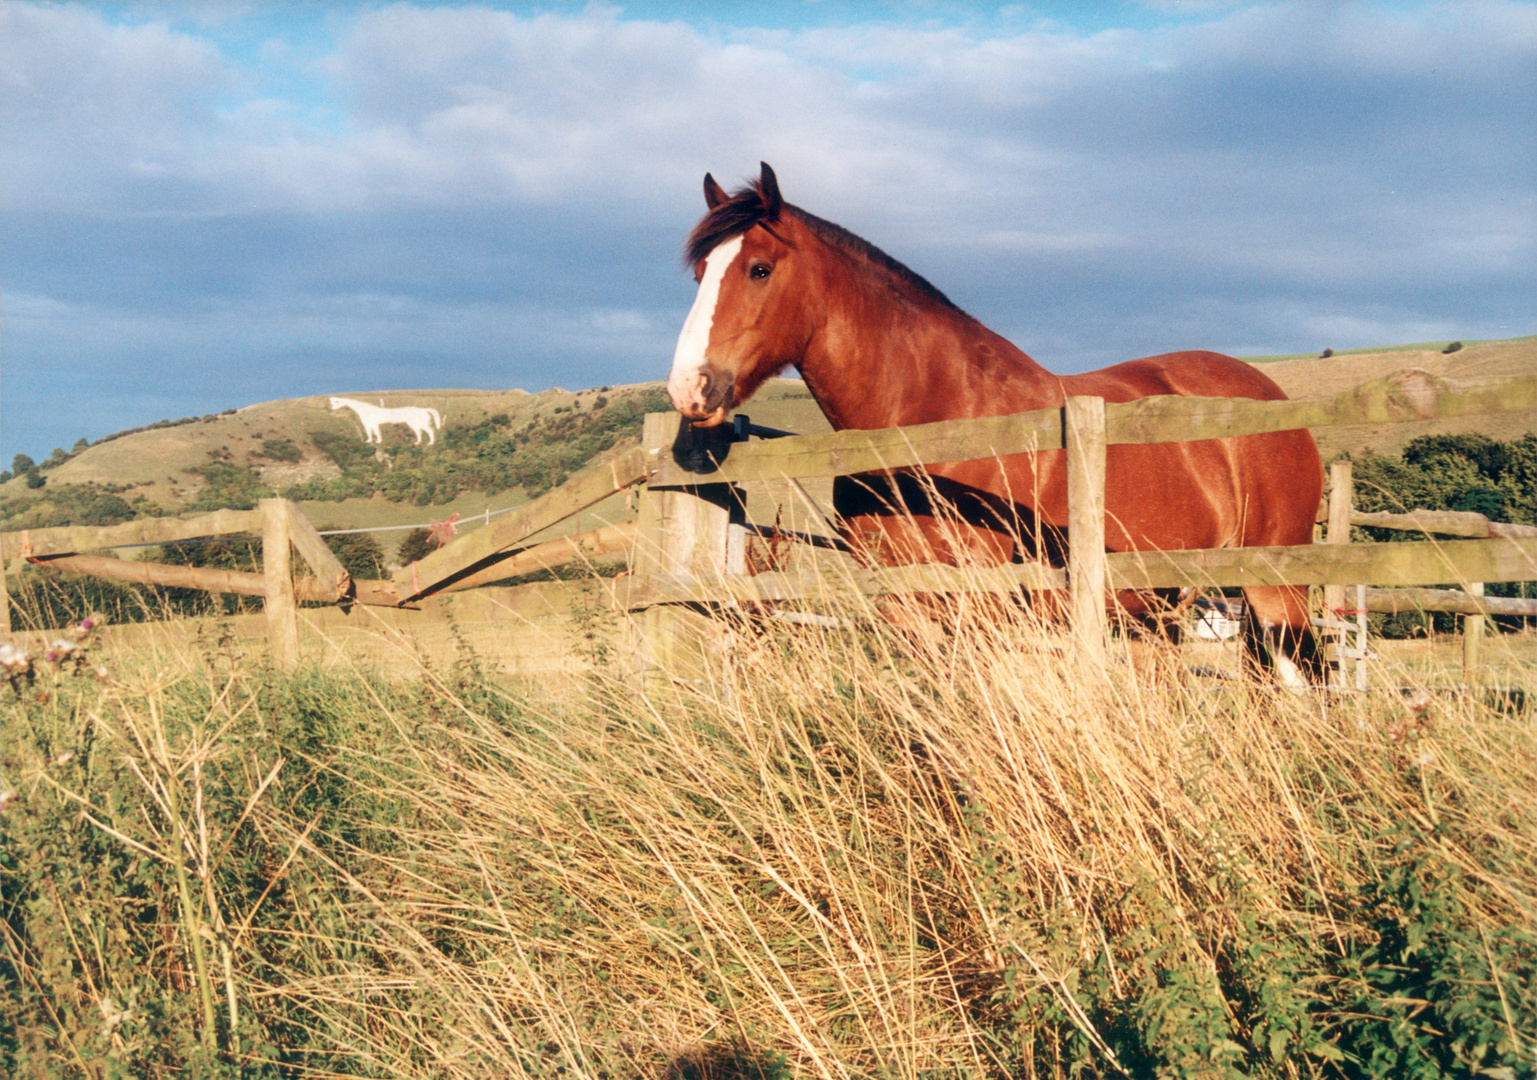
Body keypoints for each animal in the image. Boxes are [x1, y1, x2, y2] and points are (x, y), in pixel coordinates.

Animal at [667, 162, 1327, 685]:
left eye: (758, 269)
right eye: (700, 274)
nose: (689, 388)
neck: (935, 421)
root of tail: (1273, 398)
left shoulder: (977, 608)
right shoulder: (904, 607)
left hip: (1275, 593)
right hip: (1155, 611)